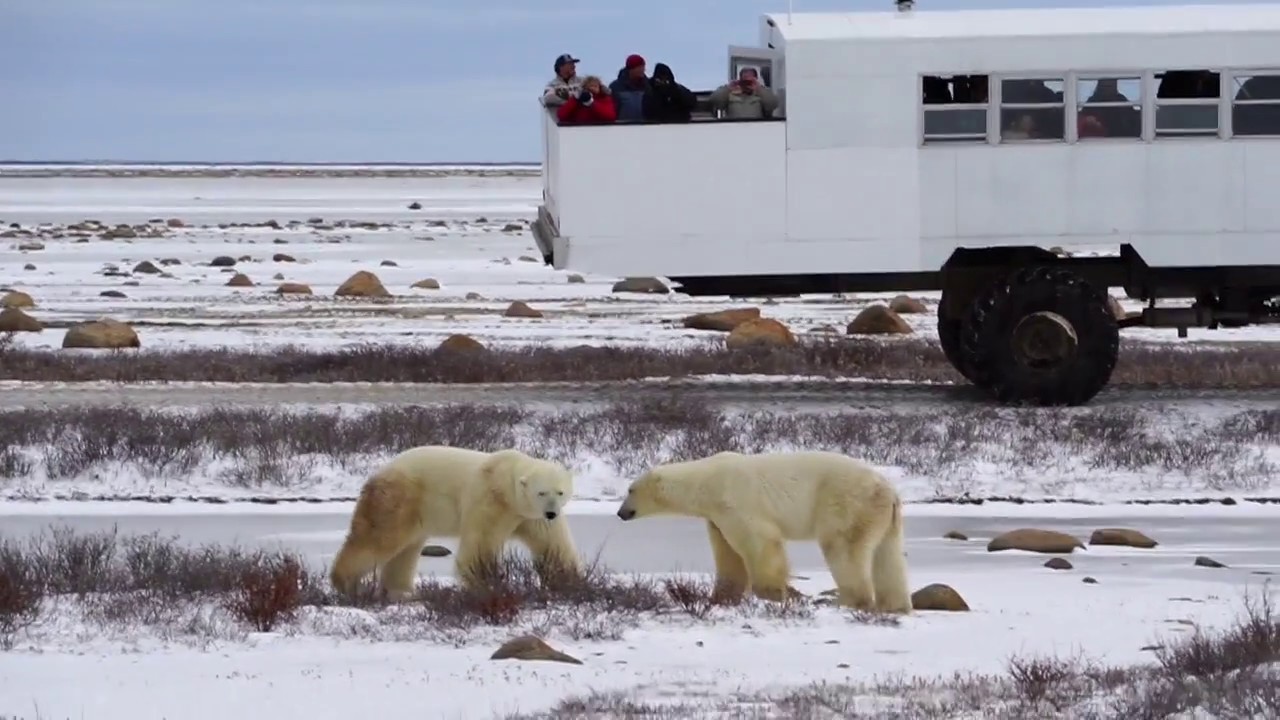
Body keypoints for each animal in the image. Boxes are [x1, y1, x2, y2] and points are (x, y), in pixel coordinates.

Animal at [329, 445, 581, 600]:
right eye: (541, 492)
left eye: (559, 492)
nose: (551, 512)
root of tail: (377, 473)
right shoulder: (490, 501)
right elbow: (480, 545)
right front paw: (487, 585)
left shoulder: (530, 517)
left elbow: (552, 545)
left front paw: (570, 582)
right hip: (399, 498)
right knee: (378, 538)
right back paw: (347, 583)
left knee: (406, 549)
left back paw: (402, 591)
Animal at [615, 450, 912, 614]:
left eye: (630, 490)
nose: (620, 513)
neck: (706, 481)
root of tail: (890, 491)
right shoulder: (717, 517)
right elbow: (728, 555)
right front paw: (722, 597)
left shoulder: (737, 501)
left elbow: (759, 544)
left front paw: (779, 593)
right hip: (884, 518)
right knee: (888, 557)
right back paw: (894, 605)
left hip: (848, 504)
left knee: (842, 548)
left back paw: (848, 601)